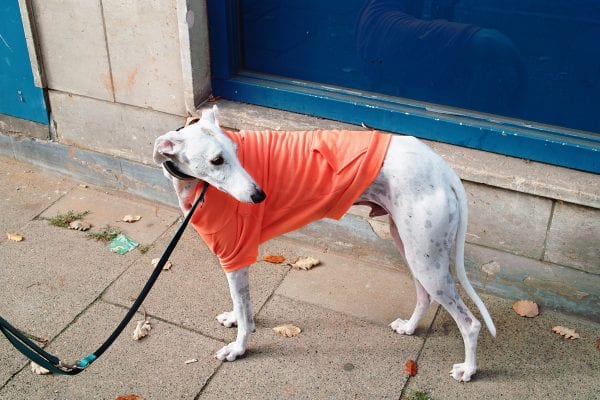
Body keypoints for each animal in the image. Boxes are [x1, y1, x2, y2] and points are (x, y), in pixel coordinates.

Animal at [155, 105, 496, 382]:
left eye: (236, 152)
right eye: (216, 160)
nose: (259, 196)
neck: (194, 185)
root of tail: (442, 168)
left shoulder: (236, 255)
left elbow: (243, 309)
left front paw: (238, 349)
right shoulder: (235, 259)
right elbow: (243, 306)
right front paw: (236, 319)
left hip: (426, 260)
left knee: (469, 323)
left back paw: (468, 370)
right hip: (413, 248)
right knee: (425, 296)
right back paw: (410, 327)